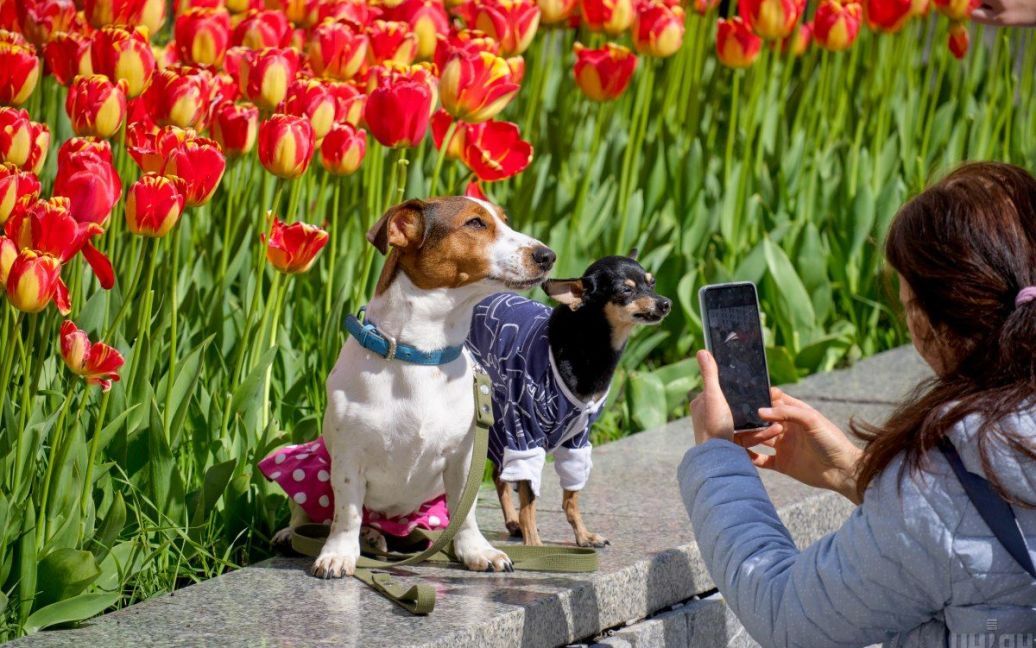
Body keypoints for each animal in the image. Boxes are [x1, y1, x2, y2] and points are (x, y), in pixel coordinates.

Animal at [464, 252, 671, 547]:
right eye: (626, 290)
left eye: (651, 283)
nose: (665, 303)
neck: (592, 352)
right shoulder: (526, 431)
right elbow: (530, 501)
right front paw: (534, 546)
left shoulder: (577, 439)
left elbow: (571, 497)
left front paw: (583, 536)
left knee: (499, 476)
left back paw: (512, 523)